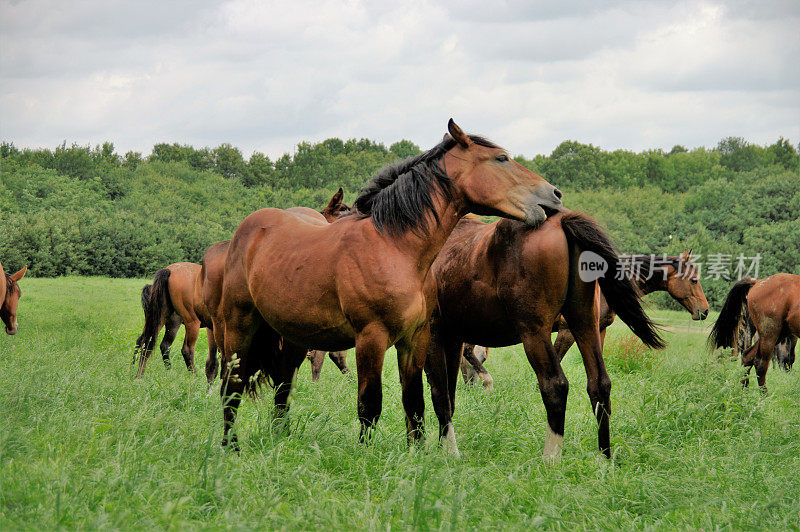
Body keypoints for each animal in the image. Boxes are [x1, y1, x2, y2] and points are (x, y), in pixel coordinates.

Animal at [214, 121, 564, 454]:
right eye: (501, 158)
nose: (555, 195)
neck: (394, 247)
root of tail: (248, 230)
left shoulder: (415, 339)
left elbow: (415, 402)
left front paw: (417, 456)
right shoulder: (371, 338)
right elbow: (370, 404)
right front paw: (366, 456)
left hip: (293, 338)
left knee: (282, 387)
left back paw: (280, 441)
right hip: (239, 328)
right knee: (231, 388)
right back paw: (231, 446)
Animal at [424, 211, 664, 458]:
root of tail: (563, 220)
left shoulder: (433, 334)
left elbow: (439, 394)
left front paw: (447, 452)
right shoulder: (452, 339)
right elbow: (449, 394)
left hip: (535, 333)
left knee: (555, 385)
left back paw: (550, 458)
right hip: (585, 324)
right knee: (599, 384)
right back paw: (603, 458)